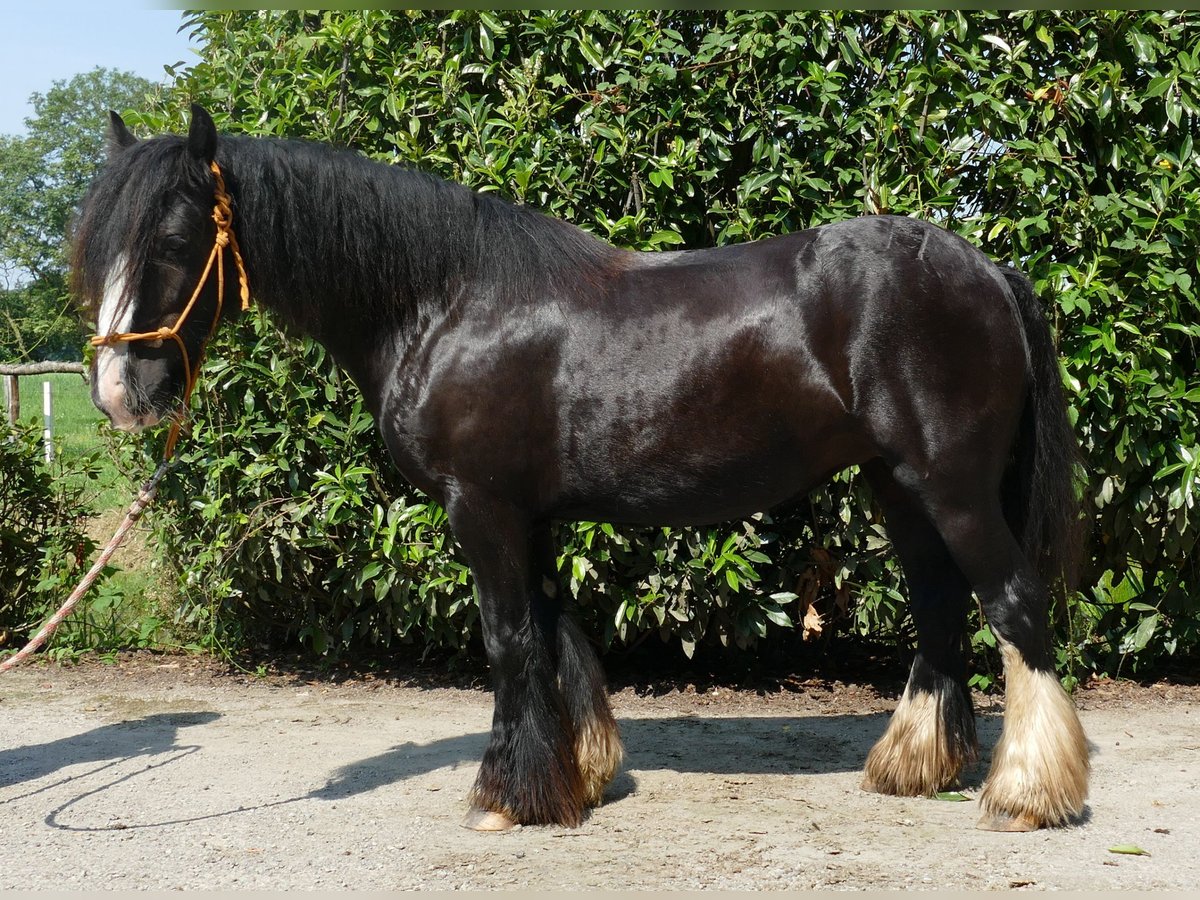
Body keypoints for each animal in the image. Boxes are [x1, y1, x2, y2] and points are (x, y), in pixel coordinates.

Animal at [75, 109, 1089, 835]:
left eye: (173, 244)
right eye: (101, 250)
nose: (121, 393)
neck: (445, 303)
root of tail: (986, 268)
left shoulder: (482, 510)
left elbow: (508, 642)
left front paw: (505, 798)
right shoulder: (532, 515)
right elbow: (557, 635)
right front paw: (577, 776)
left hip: (950, 485)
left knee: (1013, 605)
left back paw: (1026, 796)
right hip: (898, 486)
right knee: (940, 608)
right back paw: (914, 768)